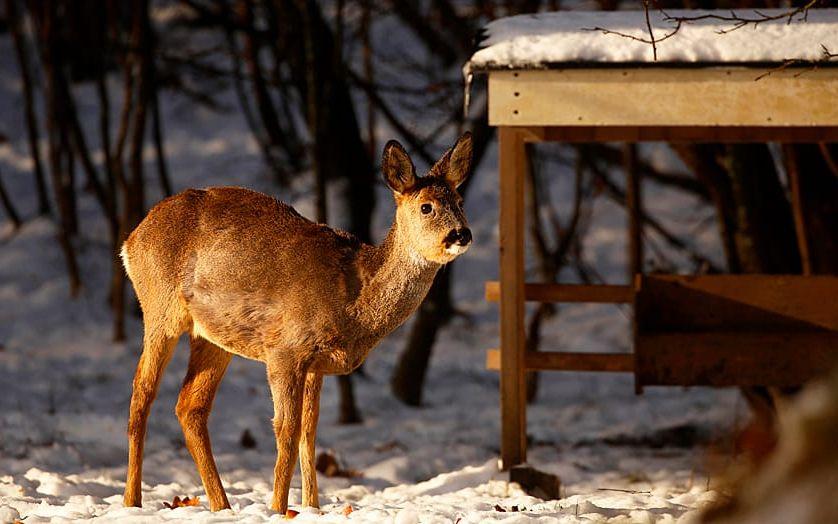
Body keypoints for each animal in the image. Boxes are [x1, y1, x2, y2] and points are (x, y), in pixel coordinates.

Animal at [119, 133, 476, 512]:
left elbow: (309, 432)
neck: (354, 302)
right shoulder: (284, 349)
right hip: (159, 308)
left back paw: (221, 505)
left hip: (213, 335)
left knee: (190, 407)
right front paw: (278, 508)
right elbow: (286, 431)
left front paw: (311, 506)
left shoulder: (317, 364)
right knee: (141, 395)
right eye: (426, 207)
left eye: (460, 200)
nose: (461, 234)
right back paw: (132, 501)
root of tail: (132, 238)